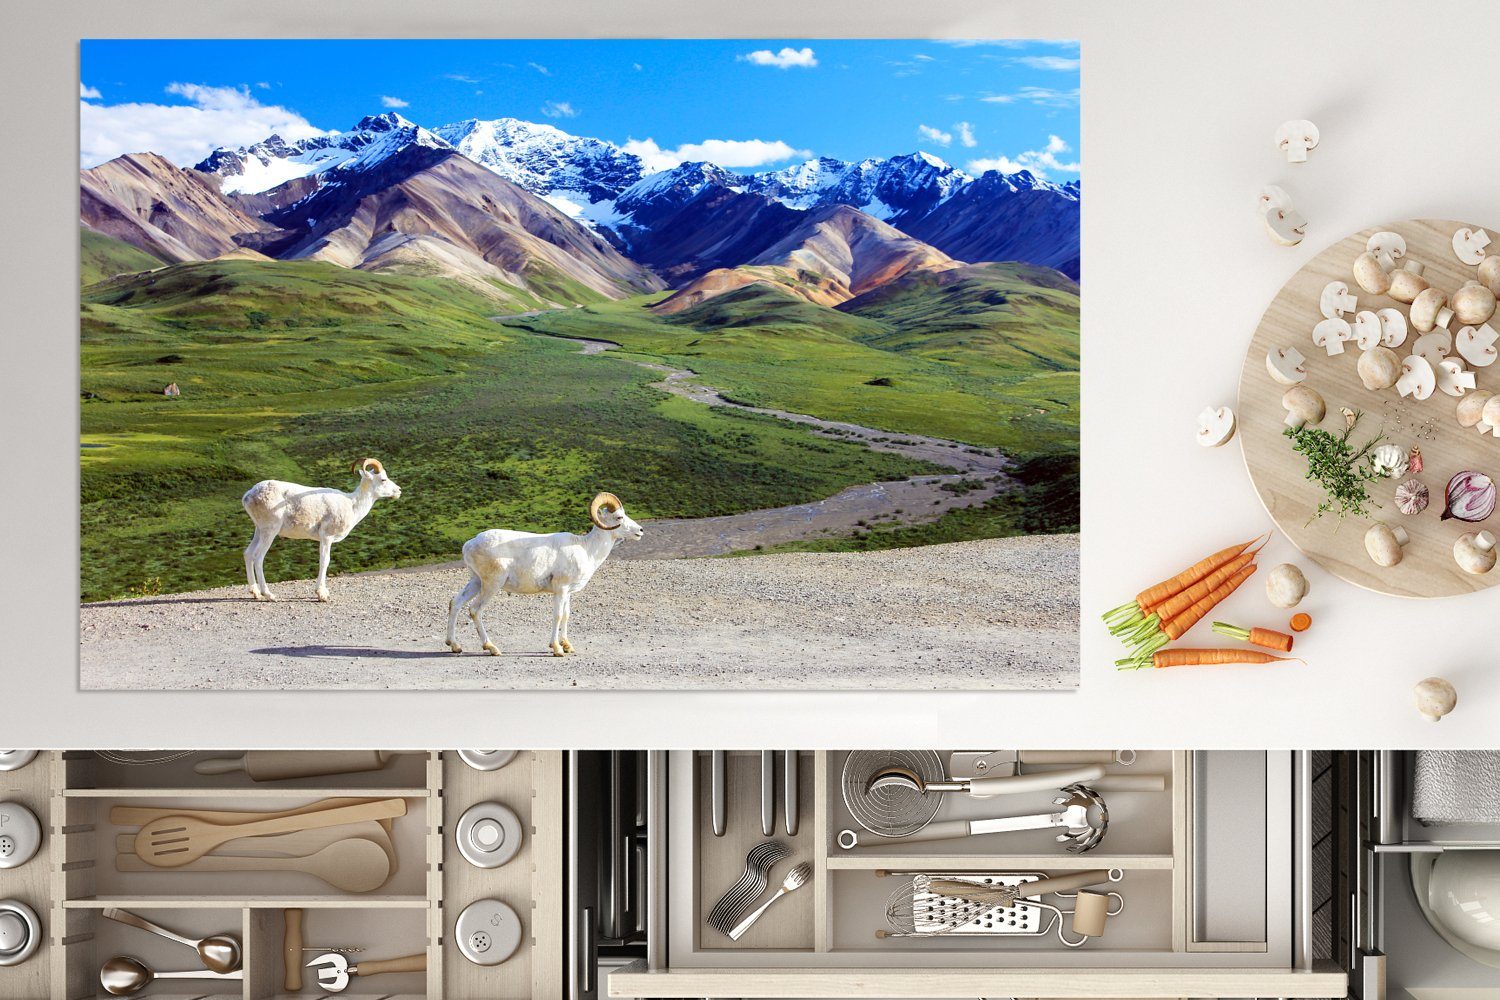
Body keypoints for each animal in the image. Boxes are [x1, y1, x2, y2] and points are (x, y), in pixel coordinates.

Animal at [237, 458, 399, 602]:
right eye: (383, 479)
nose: (398, 491)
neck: (352, 505)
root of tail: (248, 495)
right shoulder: (327, 537)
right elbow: (324, 561)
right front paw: (322, 595)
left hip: (259, 530)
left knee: (248, 554)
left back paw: (255, 593)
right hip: (270, 531)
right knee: (258, 558)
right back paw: (269, 595)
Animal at [450, 491, 651, 656]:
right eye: (619, 516)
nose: (640, 530)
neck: (587, 549)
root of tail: (469, 544)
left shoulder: (568, 592)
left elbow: (567, 615)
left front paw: (568, 646)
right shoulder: (560, 589)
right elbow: (558, 615)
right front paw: (557, 649)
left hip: (476, 581)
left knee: (456, 603)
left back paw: (454, 646)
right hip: (492, 584)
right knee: (475, 610)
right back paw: (492, 648)